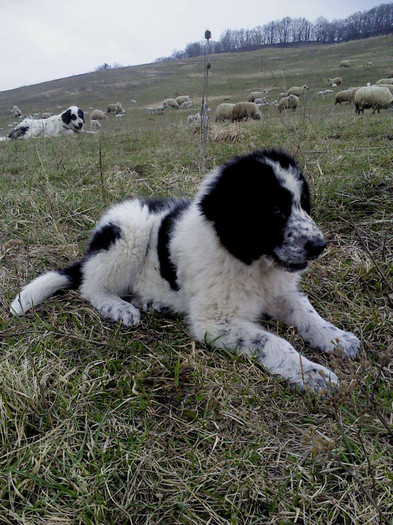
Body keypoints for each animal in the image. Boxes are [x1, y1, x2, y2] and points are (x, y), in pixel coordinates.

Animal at [9, 149, 358, 390]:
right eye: (274, 210)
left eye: (304, 204)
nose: (319, 246)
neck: (250, 261)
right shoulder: (214, 322)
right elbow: (271, 342)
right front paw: (312, 374)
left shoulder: (279, 291)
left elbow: (305, 310)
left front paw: (335, 338)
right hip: (128, 233)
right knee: (91, 286)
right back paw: (119, 307)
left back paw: (154, 303)